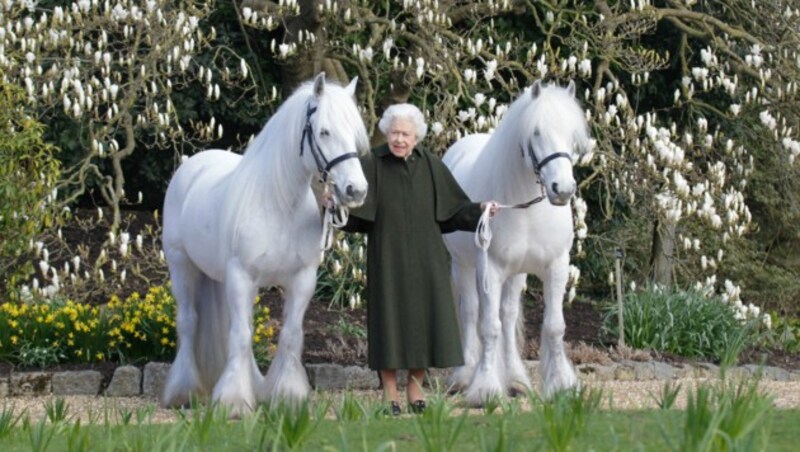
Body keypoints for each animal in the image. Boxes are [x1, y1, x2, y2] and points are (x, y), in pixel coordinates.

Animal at [162, 74, 368, 416]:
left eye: (354, 134)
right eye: (324, 131)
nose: (356, 190)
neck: (278, 204)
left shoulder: (301, 280)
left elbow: (290, 335)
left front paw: (287, 396)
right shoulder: (242, 277)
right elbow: (240, 337)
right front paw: (233, 402)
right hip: (182, 267)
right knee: (189, 323)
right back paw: (184, 392)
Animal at [444, 79, 588, 404]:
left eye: (572, 134)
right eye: (536, 132)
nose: (563, 189)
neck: (527, 208)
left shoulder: (556, 266)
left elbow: (553, 326)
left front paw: (562, 385)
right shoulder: (491, 269)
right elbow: (489, 327)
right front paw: (485, 389)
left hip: (516, 273)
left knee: (508, 317)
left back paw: (516, 380)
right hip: (463, 266)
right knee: (471, 312)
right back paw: (464, 376)